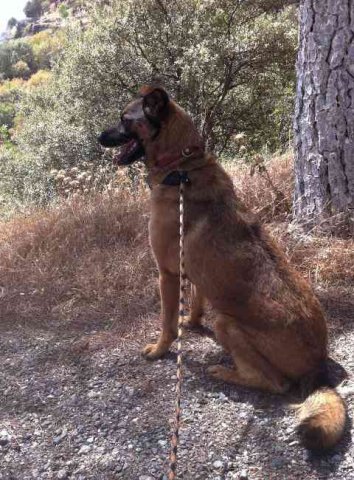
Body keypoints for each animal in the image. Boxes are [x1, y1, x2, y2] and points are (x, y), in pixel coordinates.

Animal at [99, 85, 346, 450]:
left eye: (124, 119)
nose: (99, 137)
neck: (182, 166)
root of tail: (317, 371)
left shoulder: (167, 275)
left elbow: (166, 323)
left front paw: (160, 350)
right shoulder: (194, 274)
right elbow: (196, 303)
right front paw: (191, 322)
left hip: (227, 323)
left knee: (274, 383)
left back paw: (224, 372)